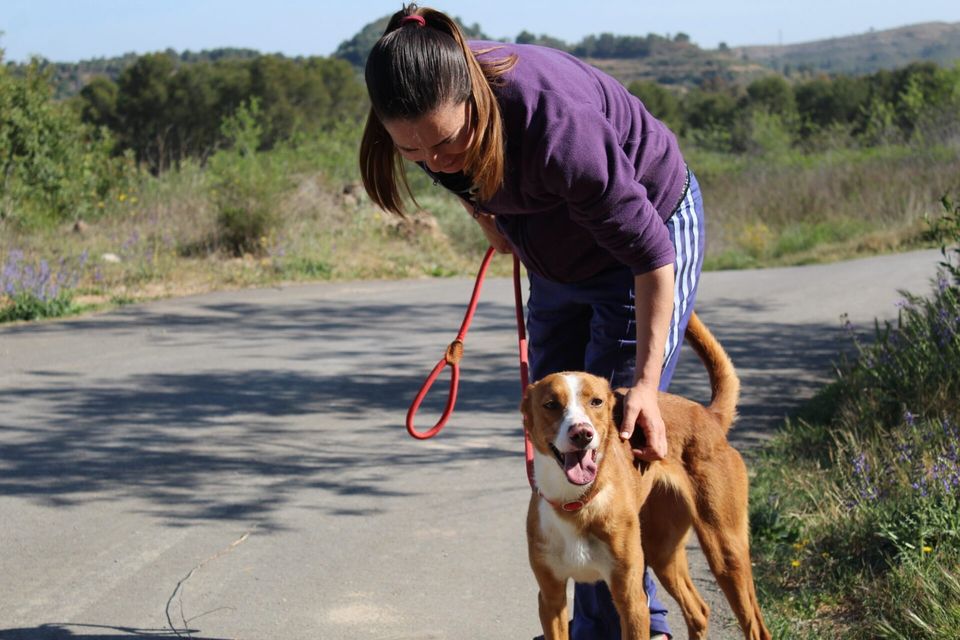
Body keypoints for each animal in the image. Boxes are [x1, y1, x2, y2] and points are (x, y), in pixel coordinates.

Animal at [516, 314, 772, 640]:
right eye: (551, 404)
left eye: (596, 402)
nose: (582, 434)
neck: (575, 502)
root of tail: (708, 416)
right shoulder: (551, 598)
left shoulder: (631, 598)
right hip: (662, 549)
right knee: (699, 610)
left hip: (726, 549)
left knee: (756, 626)